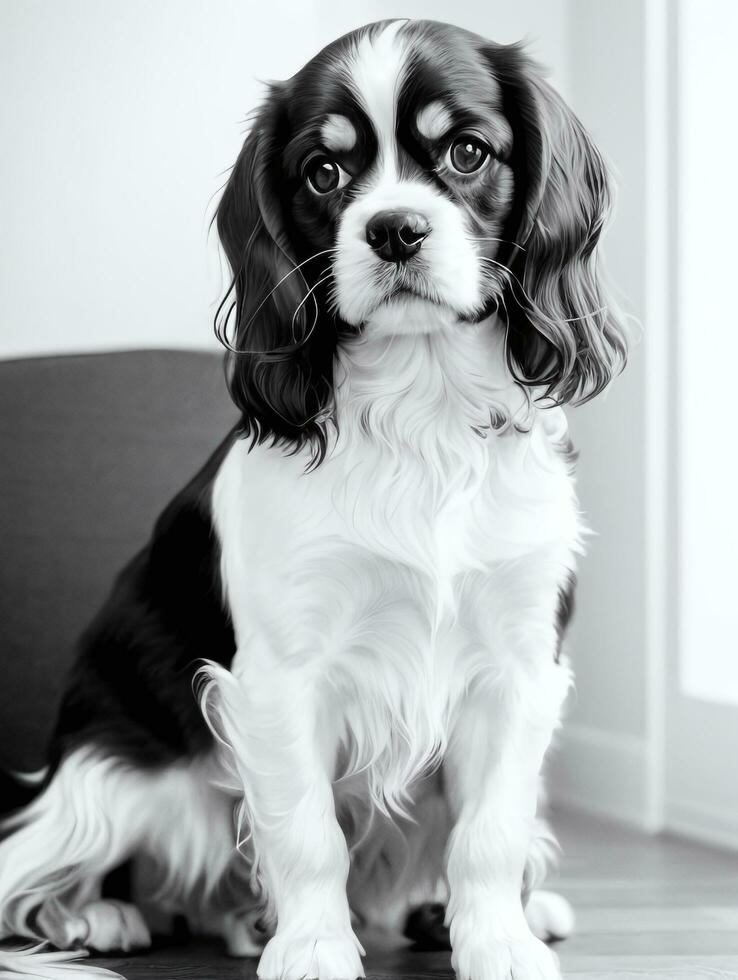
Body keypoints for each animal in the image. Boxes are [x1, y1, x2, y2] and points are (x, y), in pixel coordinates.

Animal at [0, 17, 624, 980]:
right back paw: (94, 916)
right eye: (324, 173)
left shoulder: (518, 669)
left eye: (468, 152)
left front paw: (497, 941)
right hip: (117, 781)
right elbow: (306, 834)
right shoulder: (282, 679)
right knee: (64, 859)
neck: (422, 413)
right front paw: (313, 949)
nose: (395, 229)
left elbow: (490, 832)